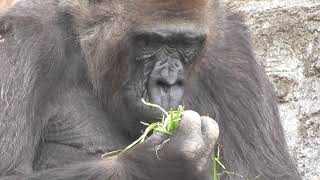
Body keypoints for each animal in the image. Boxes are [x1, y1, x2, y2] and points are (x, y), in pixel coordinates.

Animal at [0, 0, 300, 180]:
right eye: (148, 43)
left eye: (187, 44)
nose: (168, 82)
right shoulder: (28, 35)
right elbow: (11, 171)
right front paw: (167, 163)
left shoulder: (234, 51)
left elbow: (264, 173)